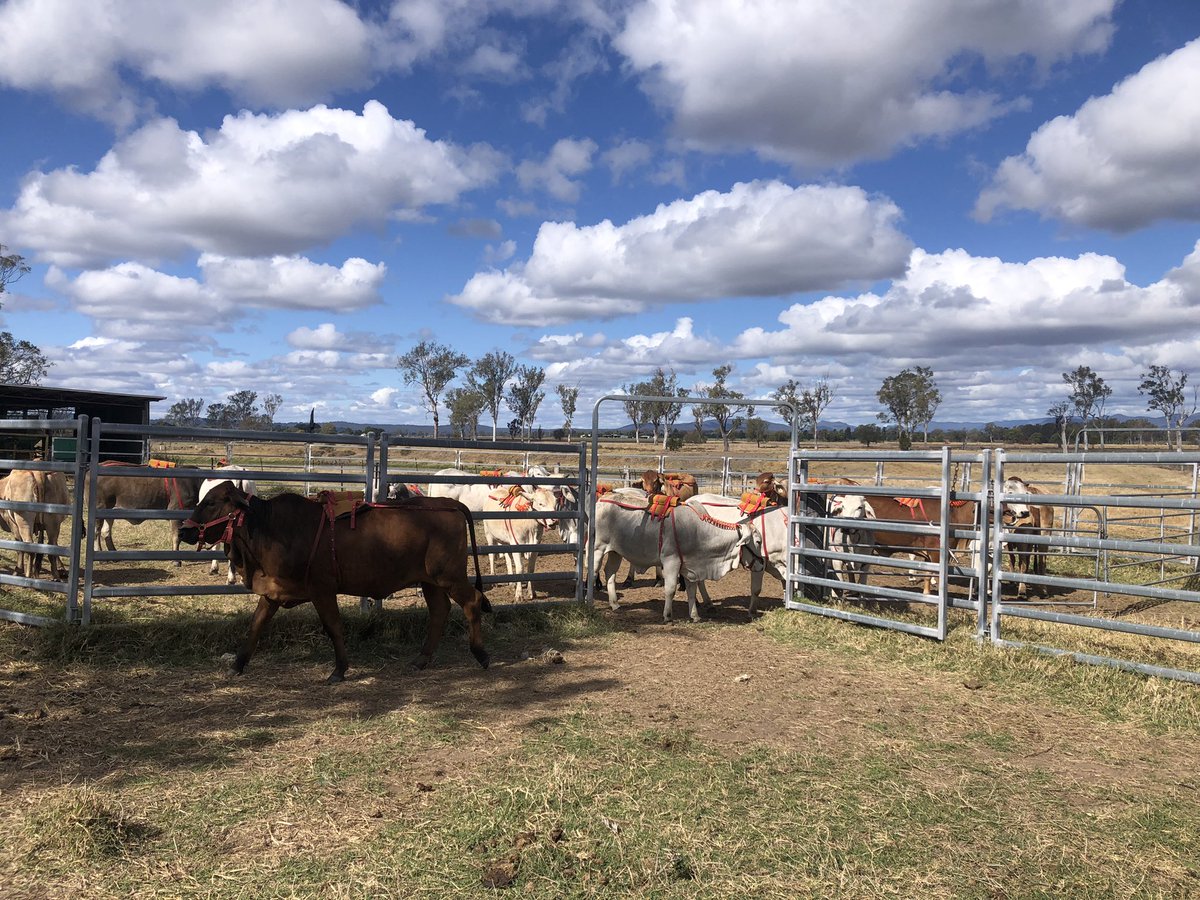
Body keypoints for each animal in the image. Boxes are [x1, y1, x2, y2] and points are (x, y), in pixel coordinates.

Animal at [175, 487, 492, 681]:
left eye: (211, 503)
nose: (183, 531)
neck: (271, 527)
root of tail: (449, 504)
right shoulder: (273, 593)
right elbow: (255, 626)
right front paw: (238, 665)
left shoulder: (322, 590)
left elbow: (333, 628)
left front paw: (339, 670)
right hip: (430, 582)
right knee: (439, 612)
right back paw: (421, 659)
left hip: (449, 577)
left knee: (473, 601)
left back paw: (481, 654)